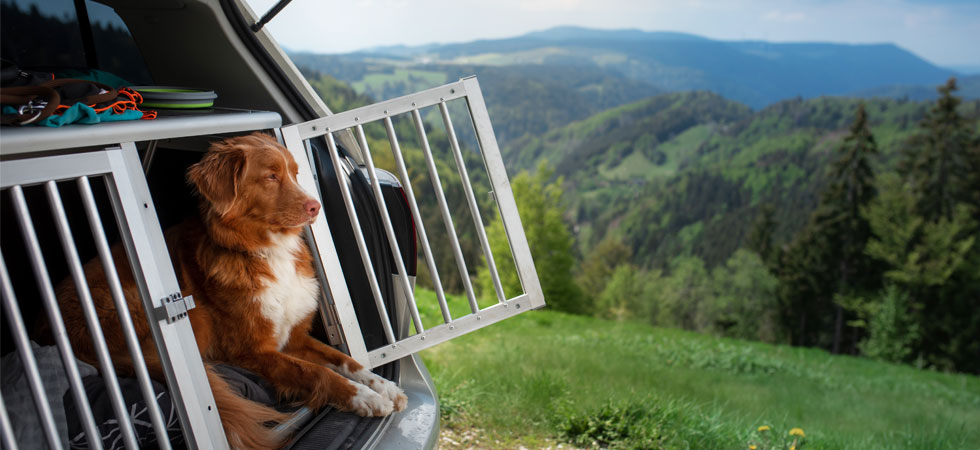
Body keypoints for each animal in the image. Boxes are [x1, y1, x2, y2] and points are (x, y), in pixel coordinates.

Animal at [56, 134, 406, 450]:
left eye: (295, 173)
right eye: (270, 176)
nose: (315, 207)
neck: (266, 250)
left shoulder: (293, 337)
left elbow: (345, 360)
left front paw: (383, 387)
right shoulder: (251, 351)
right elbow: (319, 373)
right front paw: (363, 398)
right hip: (180, 313)